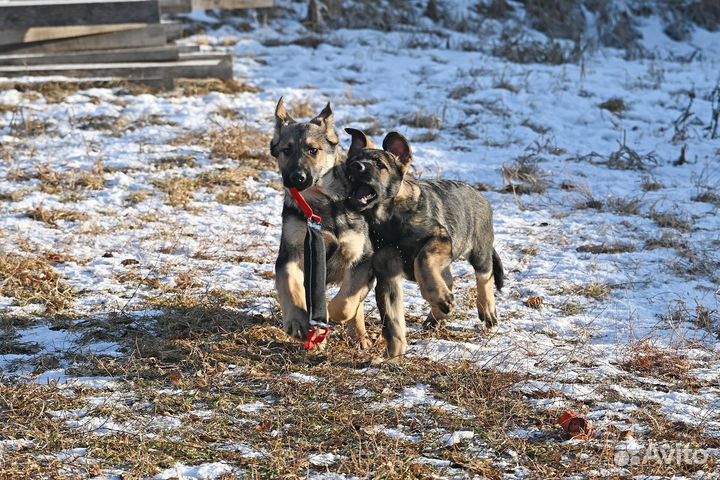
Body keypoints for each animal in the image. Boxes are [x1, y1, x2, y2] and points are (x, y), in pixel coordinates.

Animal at [344, 129, 504, 358]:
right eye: (352, 160)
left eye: (379, 165)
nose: (355, 167)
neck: (387, 218)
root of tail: (480, 195)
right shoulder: (387, 275)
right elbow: (392, 321)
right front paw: (393, 355)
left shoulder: (439, 239)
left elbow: (423, 261)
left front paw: (438, 296)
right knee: (449, 280)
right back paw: (437, 314)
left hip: (479, 249)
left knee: (485, 276)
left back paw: (486, 310)